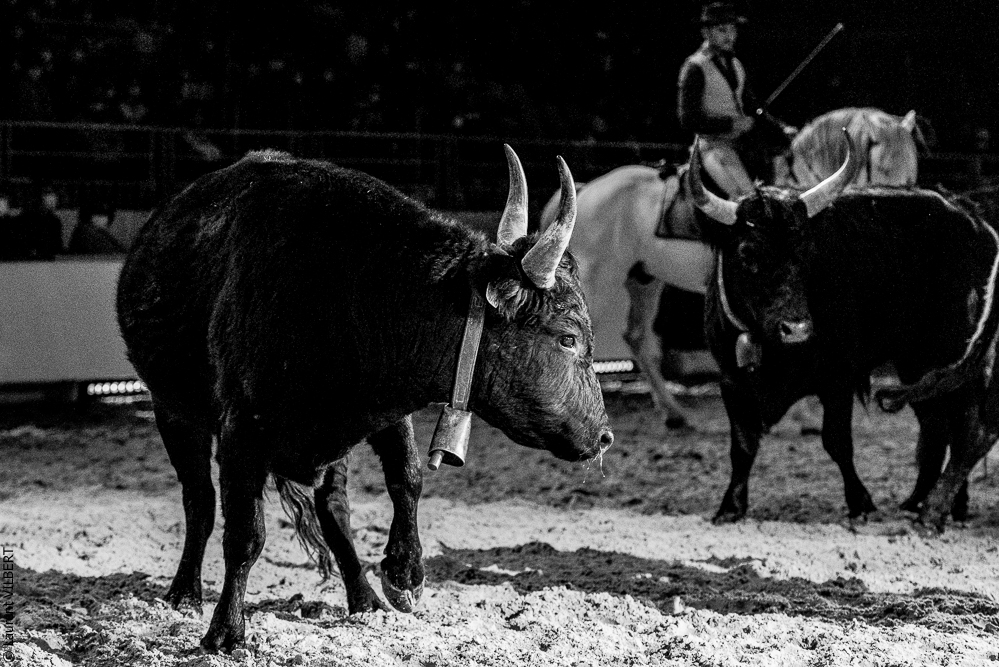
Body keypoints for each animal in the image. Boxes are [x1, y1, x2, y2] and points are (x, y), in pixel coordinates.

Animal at [539, 107, 927, 429]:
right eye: (886, 165)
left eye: (912, 168)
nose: (905, 204)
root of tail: (583, 192)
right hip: (599, 279)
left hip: (644, 280)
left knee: (639, 339)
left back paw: (675, 414)